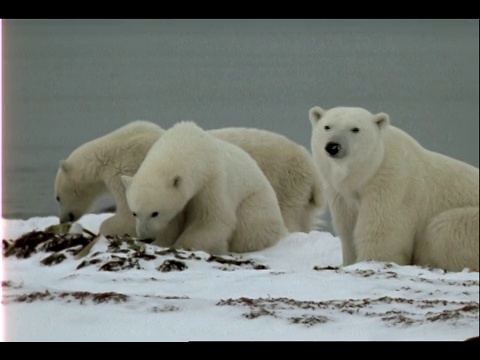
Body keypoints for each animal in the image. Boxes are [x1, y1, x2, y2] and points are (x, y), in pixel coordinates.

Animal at [54, 120, 322, 236]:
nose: (64, 218)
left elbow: (127, 212)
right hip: (302, 192)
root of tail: (310, 165)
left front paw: (108, 228)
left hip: (285, 180)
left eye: (57, 197)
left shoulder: (130, 165)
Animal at [120, 121, 288, 253]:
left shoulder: (211, 182)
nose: (146, 238)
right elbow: (173, 223)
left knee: (249, 229)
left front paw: (183, 245)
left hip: (256, 203)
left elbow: (211, 219)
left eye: (155, 213)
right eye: (134, 213)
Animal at [310, 105, 478, 272]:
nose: (333, 146)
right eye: (327, 127)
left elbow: (380, 229)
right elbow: (347, 228)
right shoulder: (341, 194)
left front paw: (371, 261)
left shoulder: (391, 183)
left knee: (444, 228)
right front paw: (350, 262)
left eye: (355, 129)